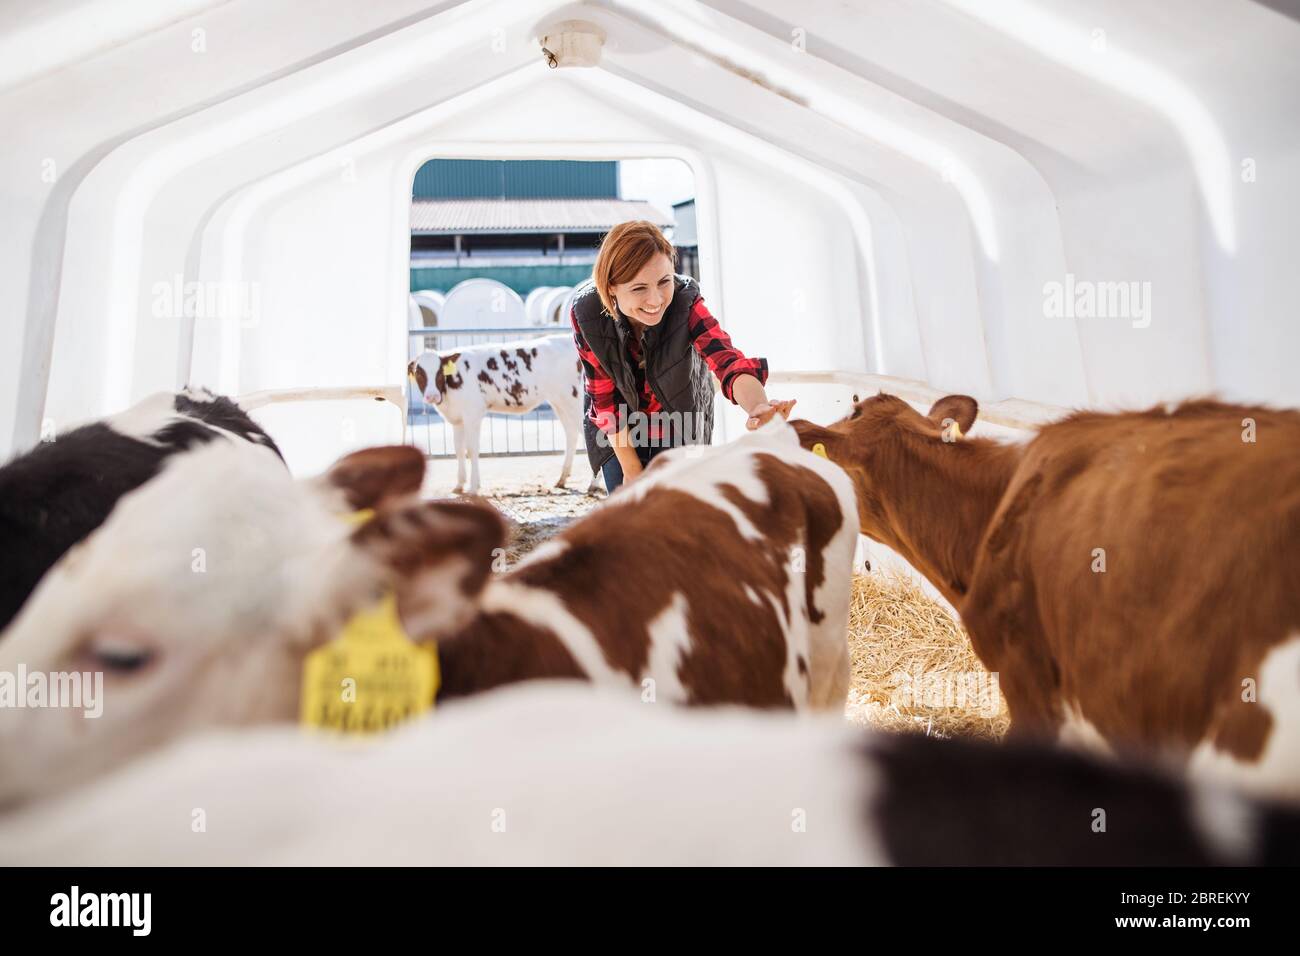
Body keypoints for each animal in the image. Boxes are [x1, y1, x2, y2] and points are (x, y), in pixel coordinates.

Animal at [405, 335, 598, 496]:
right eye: (419, 372)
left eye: (439, 372)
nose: (431, 396)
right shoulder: (457, 419)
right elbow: (459, 450)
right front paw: (459, 485)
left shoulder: (473, 413)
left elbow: (472, 450)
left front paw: (473, 487)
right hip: (559, 401)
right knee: (571, 434)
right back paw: (562, 479)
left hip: (573, 399)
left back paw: (593, 485)